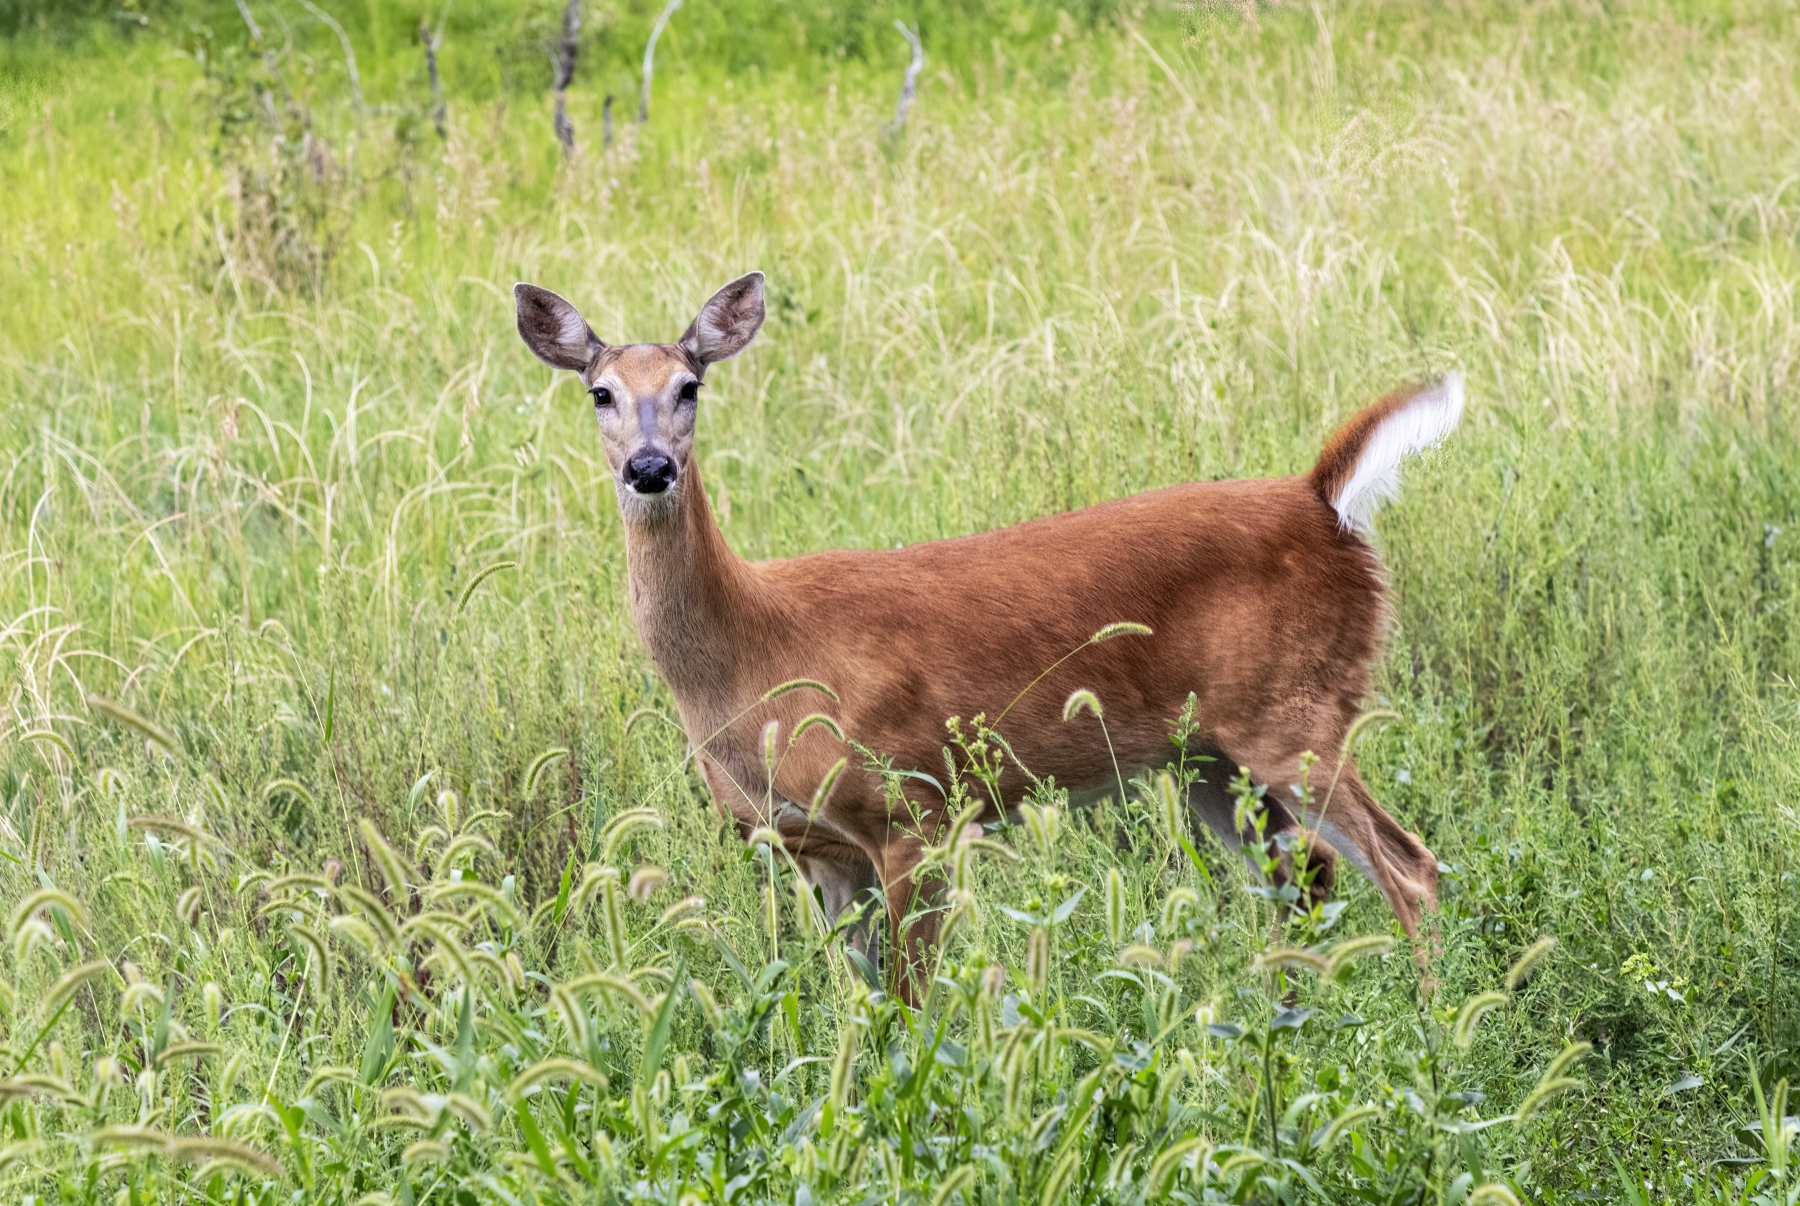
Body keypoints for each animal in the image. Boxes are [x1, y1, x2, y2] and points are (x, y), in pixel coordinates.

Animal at [513, 271, 1461, 997]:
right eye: (600, 393)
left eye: (690, 386)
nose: (650, 468)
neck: (758, 658)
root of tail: (1320, 499)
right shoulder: (816, 849)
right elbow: (859, 1007)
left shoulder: (915, 808)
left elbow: (910, 1001)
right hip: (1208, 760)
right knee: (1308, 879)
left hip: (1296, 713)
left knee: (1411, 868)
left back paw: (1433, 1035)